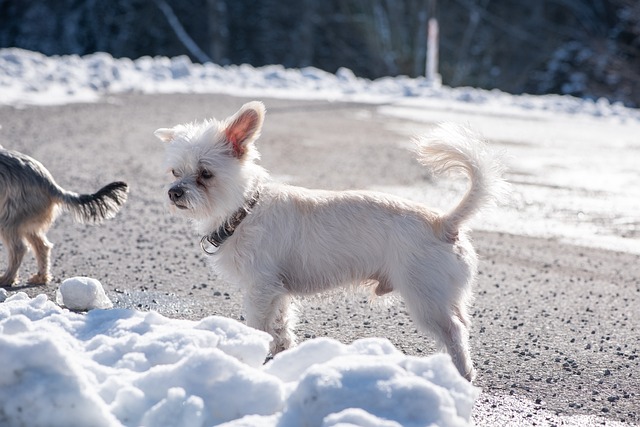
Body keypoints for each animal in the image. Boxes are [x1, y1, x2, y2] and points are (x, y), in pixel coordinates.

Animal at [0, 147, 130, 288]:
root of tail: (49, 184)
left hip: (10, 218)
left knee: (19, 248)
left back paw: (7, 279)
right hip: (25, 219)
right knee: (42, 246)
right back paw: (40, 278)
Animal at [155, 102, 504, 382]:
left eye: (205, 174)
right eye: (174, 172)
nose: (174, 192)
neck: (246, 210)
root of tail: (445, 223)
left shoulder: (260, 289)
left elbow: (258, 324)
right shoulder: (276, 291)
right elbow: (281, 324)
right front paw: (282, 351)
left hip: (427, 300)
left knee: (454, 332)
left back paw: (461, 373)